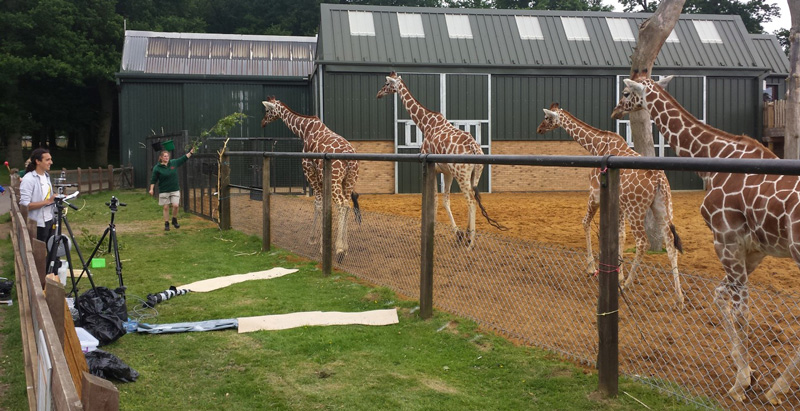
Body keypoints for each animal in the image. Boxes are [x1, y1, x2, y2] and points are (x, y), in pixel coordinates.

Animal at [260, 97, 360, 260]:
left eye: (267, 110)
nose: (262, 122)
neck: (304, 130)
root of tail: (350, 159)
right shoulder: (321, 175)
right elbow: (323, 204)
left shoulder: (309, 170)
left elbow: (318, 204)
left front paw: (316, 241)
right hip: (349, 180)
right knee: (348, 204)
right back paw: (345, 247)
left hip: (335, 180)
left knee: (342, 204)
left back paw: (339, 249)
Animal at [376, 71, 504, 248]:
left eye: (387, 84)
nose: (378, 94)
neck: (426, 124)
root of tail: (474, 149)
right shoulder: (446, 172)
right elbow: (445, 201)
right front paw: (458, 234)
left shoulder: (432, 167)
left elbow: (435, 202)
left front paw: (435, 233)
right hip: (475, 174)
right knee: (473, 198)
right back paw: (467, 236)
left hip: (461, 175)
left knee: (471, 201)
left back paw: (471, 242)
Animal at [536, 103, 684, 306]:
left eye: (547, 118)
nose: (539, 129)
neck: (596, 145)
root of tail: (659, 181)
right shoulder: (619, 205)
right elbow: (620, 235)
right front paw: (618, 274)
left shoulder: (595, 194)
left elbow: (585, 222)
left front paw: (592, 268)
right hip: (662, 206)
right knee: (670, 243)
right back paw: (679, 297)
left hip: (636, 209)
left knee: (642, 242)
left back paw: (628, 285)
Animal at [608, 75, 796, 406]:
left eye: (627, 92)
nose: (616, 110)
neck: (715, 158)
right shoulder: (753, 249)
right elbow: (720, 296)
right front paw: (748, 374)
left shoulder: (726, 238)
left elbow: (742, 312)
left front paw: (741, 382)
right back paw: (777, 387)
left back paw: (777, 389)